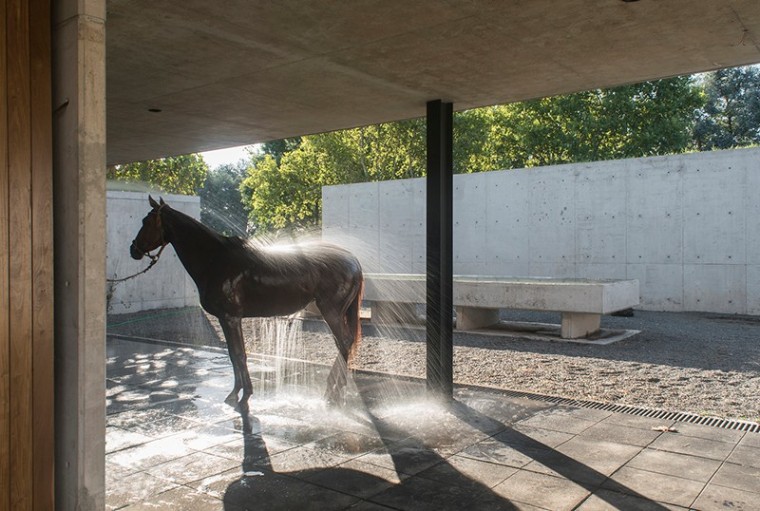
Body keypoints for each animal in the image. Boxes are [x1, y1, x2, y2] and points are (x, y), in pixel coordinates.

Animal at [131, 196, 366, 408]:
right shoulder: (229, 319)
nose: (133, 250)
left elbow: (238, 354)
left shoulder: (230, 318)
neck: (215, 260)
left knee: (344, 342)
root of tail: (353, 261)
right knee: (342, 344)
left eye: (146, 221)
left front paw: (243, 394)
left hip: (331, 312)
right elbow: (234, 355)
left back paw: (332, 391)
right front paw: (238, 391)